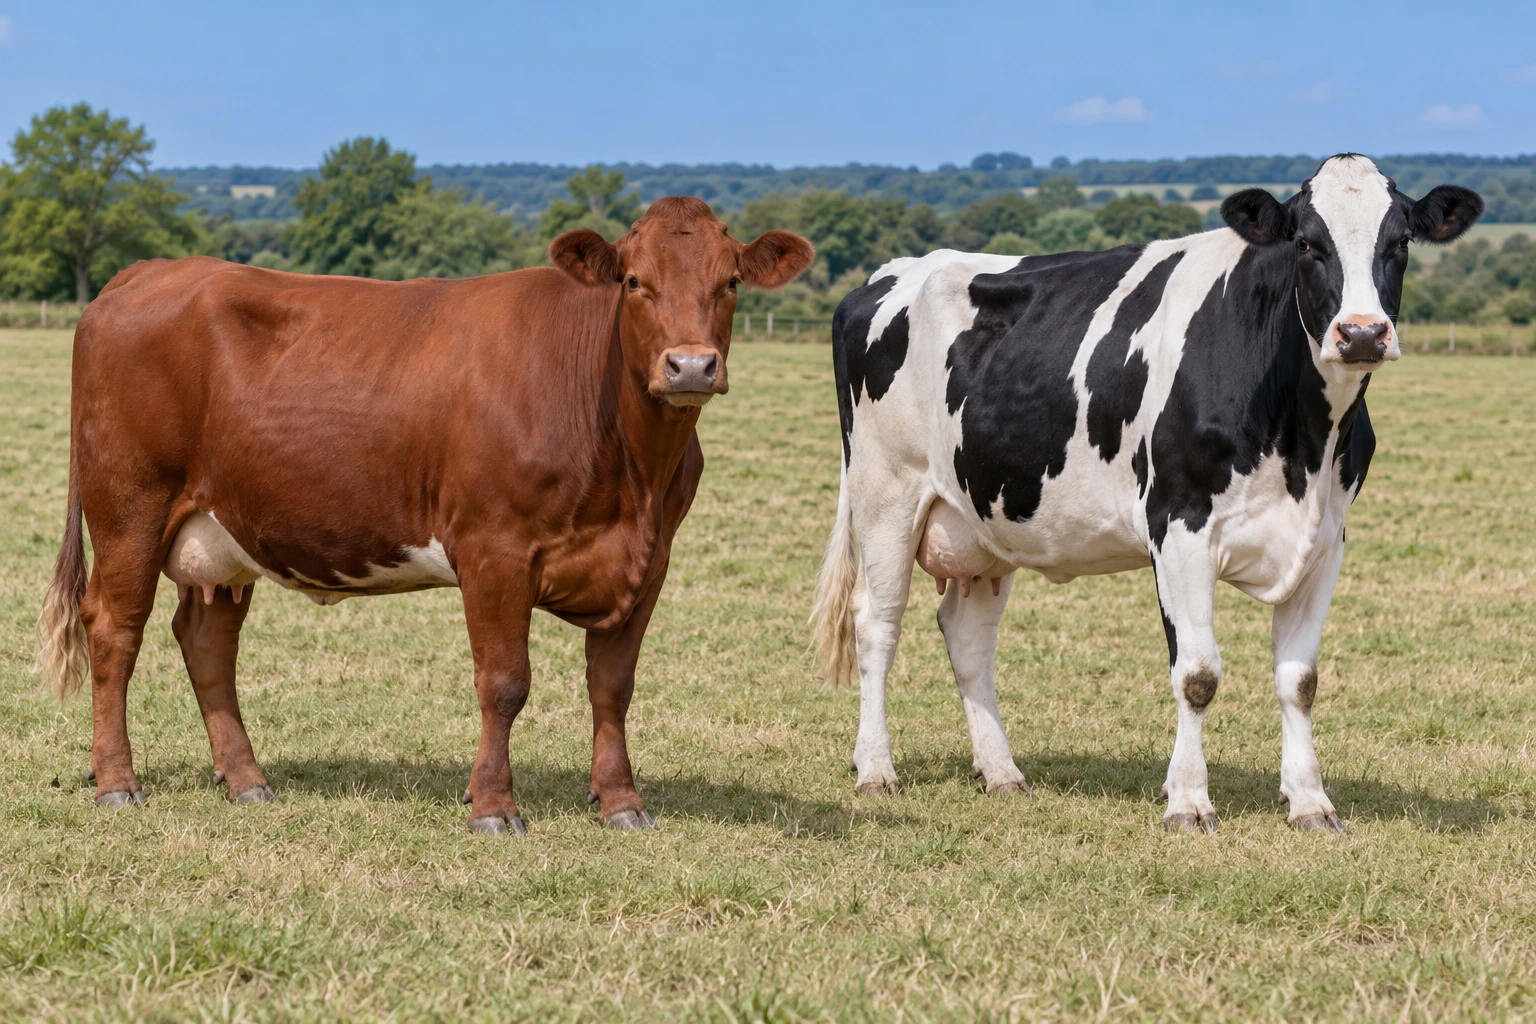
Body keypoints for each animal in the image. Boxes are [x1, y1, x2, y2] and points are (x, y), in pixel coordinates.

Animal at [36, 196, 813, 834]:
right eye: (633, 282)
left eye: (731, 283)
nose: (690, 367)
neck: (632, 477)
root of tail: (146, 272)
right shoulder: (495, 549)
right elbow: (504, 684)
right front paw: (493, 806)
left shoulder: (648, 564)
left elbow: (612, 688)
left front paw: (621, 802)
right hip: (130, 508)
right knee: (114, 629)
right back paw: (117, 783)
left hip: (224, 535)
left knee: (206, 641)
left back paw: (247, 780)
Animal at [811, 155, 1481, 832]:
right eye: (1305, 244)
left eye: (1401, 243)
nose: (1363, 334)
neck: (1303, 442)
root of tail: (889, 273)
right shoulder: (1179, 527)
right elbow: (1198, 675)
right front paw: (1188, 801)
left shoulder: (1324, 541)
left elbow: (1300, 680)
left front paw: (1310, 802)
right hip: (886, 494)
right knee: (877, 623)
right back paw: (875, 769)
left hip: (985, 519)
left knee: (967, 636)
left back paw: (1001, 772)